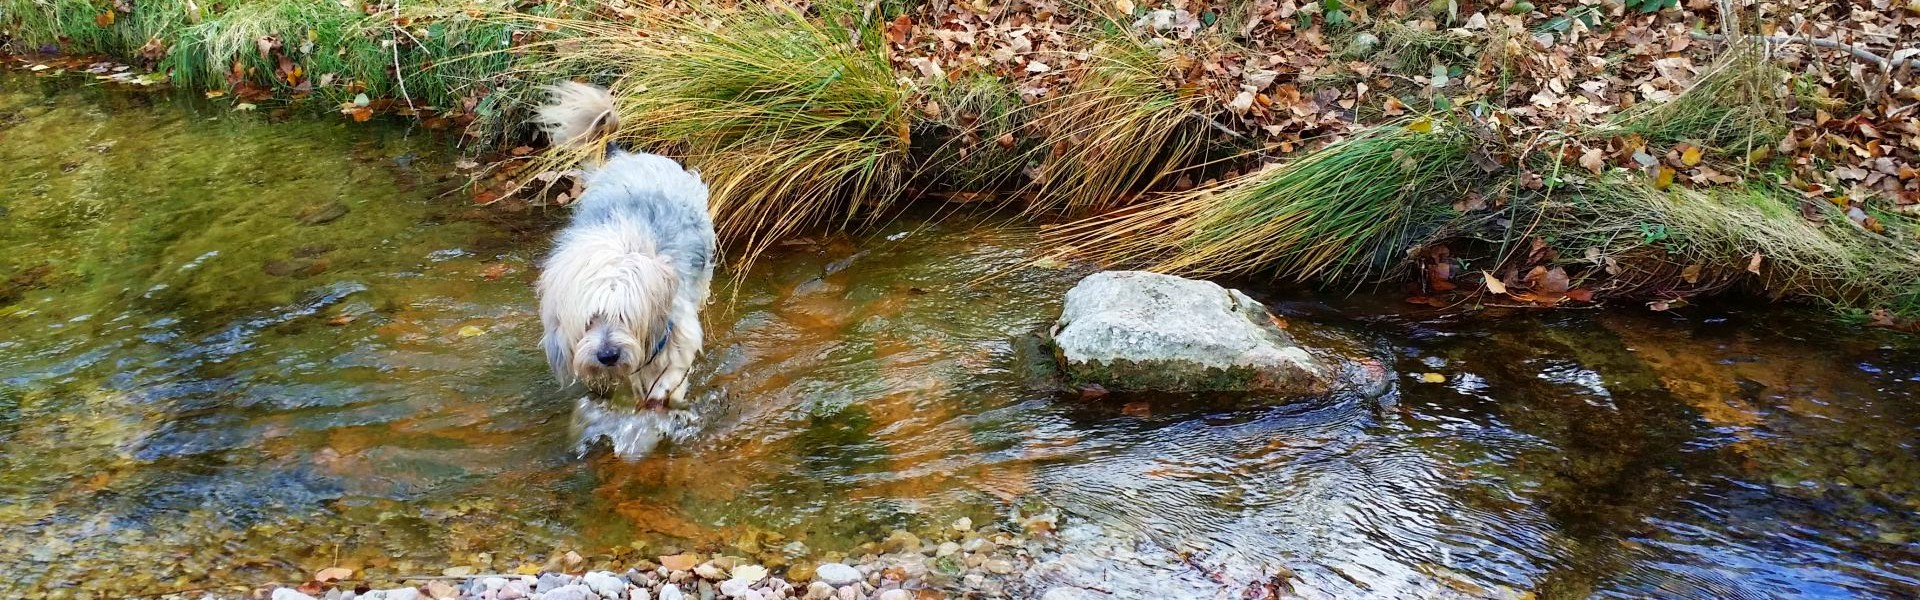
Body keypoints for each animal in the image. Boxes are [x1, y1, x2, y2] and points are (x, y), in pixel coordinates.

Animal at [533, 83, 714, 407]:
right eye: (589, 320)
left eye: (624, 316)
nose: (608, 355)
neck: (617, 244)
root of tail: (627, 157)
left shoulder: (676, 330)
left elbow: (670, 374)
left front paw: (662, 395)